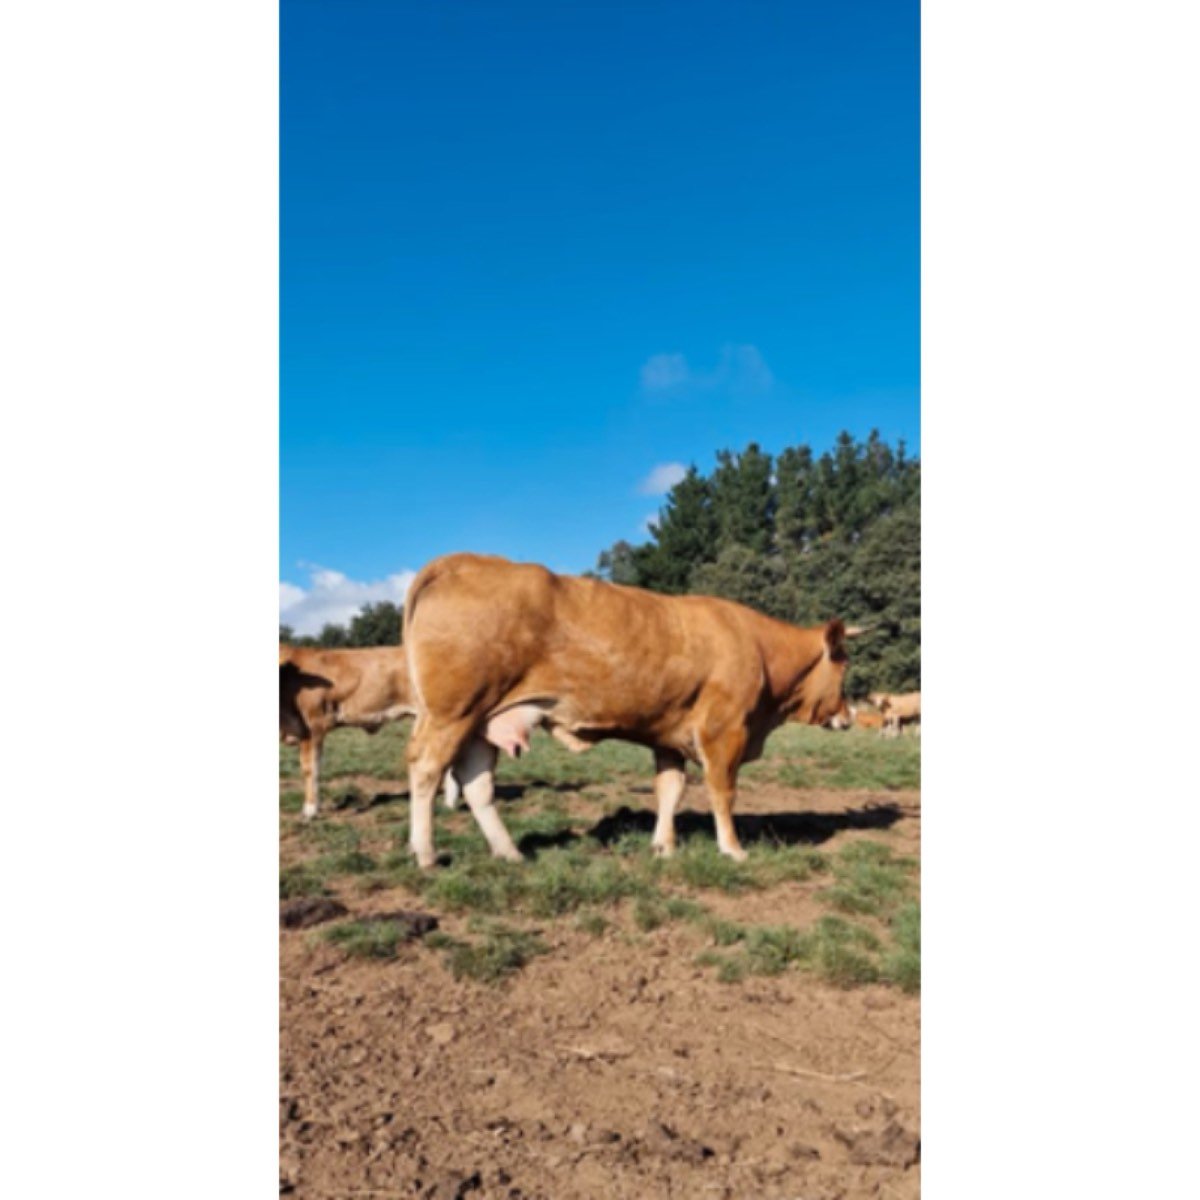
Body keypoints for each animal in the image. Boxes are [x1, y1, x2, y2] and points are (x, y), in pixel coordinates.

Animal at [400, 553, 860, 868]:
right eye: (844, 666)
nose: (848, 715)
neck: (759, 649)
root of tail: (460, 560)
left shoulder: (671, 736)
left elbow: (670, 789)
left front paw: (663, 846)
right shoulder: (724, 732)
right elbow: (722, 792)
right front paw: (732, 849)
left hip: (483, 721)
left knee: (477, 784)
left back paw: (509, 851)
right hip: (452, 713)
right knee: (427, 768)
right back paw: (425, 853)